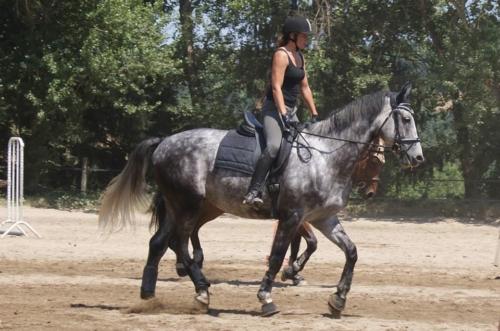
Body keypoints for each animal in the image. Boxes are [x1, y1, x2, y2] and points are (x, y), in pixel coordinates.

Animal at [99, 81, 424, 318]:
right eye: (406, 118)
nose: (418, 158)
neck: (325, 156)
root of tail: (164, 141)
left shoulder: (323, 218)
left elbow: (351, 252)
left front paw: (338, 299)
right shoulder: (293, 216)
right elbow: (278, 255)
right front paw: (267, 298)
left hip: (183, 207)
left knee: (160, 242)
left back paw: (150, 295)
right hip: (188, 204)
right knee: (178, 242)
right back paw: (201, 290)